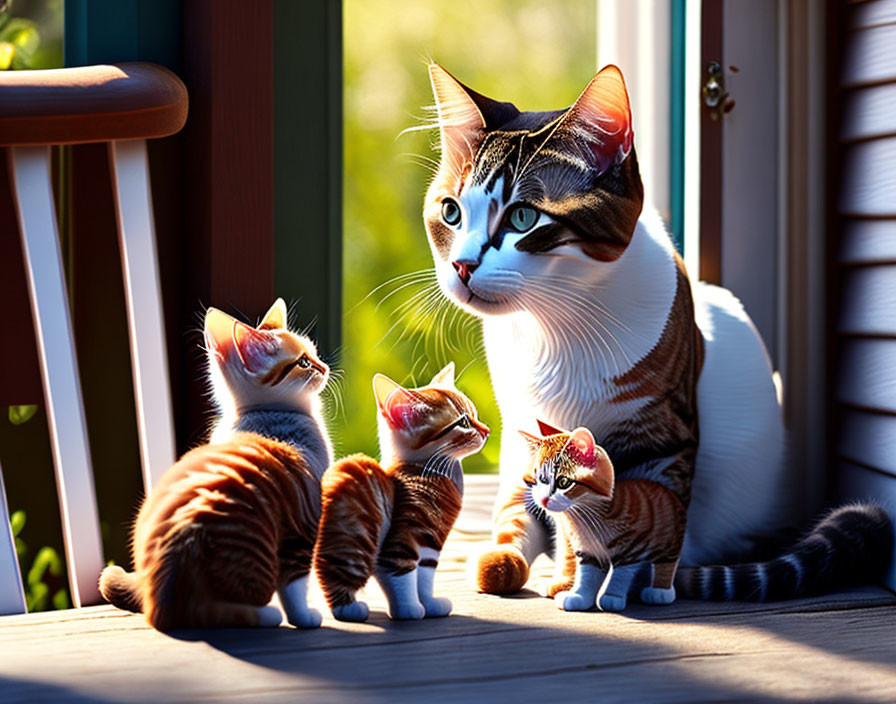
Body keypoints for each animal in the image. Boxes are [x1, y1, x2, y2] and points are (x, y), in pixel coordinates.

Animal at [98, 300, 334, 628]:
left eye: (313, 352)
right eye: (303, 362)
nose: (324, 366)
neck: (261, 413)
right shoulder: (303, 521)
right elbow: (295, 584)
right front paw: (304, 616)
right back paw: (264, 614)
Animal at [316, 366, 490, 620]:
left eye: (475, 414)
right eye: (464, 421)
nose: (487, 431)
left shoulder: (429, 547)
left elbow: (424, 577)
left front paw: (429, 603)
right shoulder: (401, 541)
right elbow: (401, 575)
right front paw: (407, 609)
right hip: (356, 535)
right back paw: (347, 607)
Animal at [524, 418, 688, 612]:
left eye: (563, 482)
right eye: (536, 480)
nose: (543, 500)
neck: (582, 519)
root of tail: (669, 492)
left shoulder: (632, 548)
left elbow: (621, 574)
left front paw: (612, 597)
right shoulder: (587, 550)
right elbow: (587, 574)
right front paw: (579, 597)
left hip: (671, 539)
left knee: (667, 562)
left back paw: (660, 591)